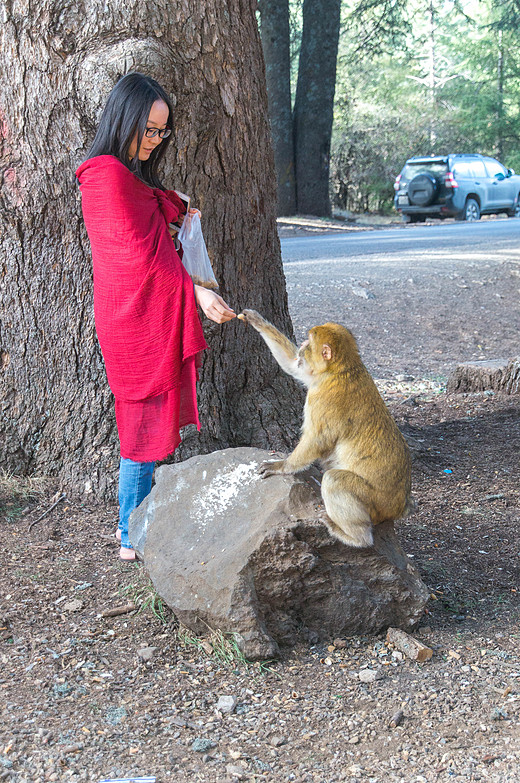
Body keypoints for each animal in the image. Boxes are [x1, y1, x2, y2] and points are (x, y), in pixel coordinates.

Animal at [240, 310, 414, 548]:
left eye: (309, 341)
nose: (302, 346)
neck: (341, 369)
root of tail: (398, 507)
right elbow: (292, 365)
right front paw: (254, 319)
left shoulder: (322, 400)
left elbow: (317, 440)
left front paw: (282, 466)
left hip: (374, 503)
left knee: (334, 481)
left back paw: (355, 537)